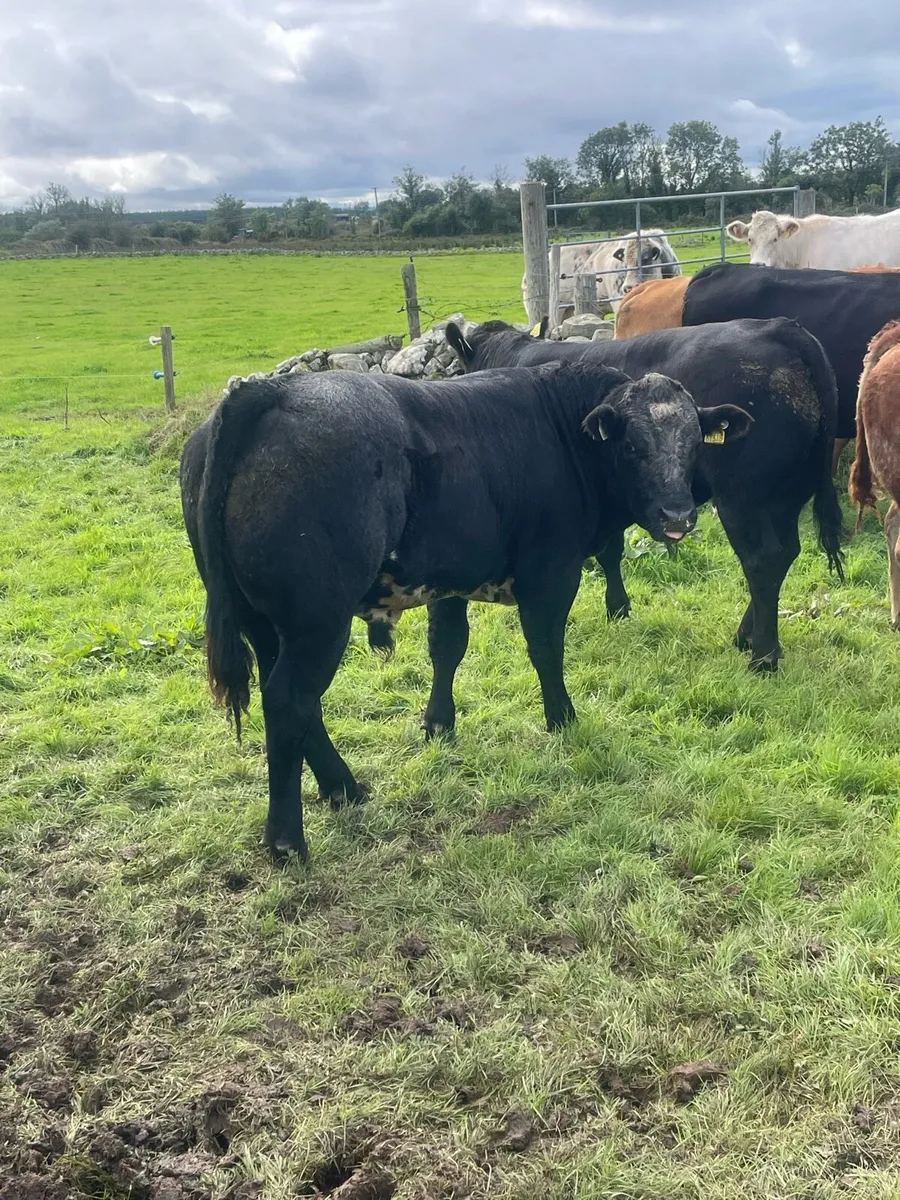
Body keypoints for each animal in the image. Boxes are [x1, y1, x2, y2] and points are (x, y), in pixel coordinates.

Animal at [181, 364, 746, 859]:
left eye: (694, 442)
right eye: (631, 445)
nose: (678, 516)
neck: (565, 432)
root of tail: (269, 391)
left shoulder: (448, 579)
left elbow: (447, 648)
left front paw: (438, 725)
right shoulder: (551, 572)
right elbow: (546, 649)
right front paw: (562, 718)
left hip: (265, 623)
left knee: (296, 703)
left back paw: (343, 787)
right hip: (318, 623)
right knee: (289, 701)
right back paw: (287, 840)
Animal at [446, 317, 844, 672]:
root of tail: (781, 327)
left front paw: (616, 606)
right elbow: (612, 551)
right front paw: (620, 607)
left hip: (743, 497)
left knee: (762, 560)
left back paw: (762, 654)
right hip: (787, 494)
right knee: (785, 554)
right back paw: (748, 636)